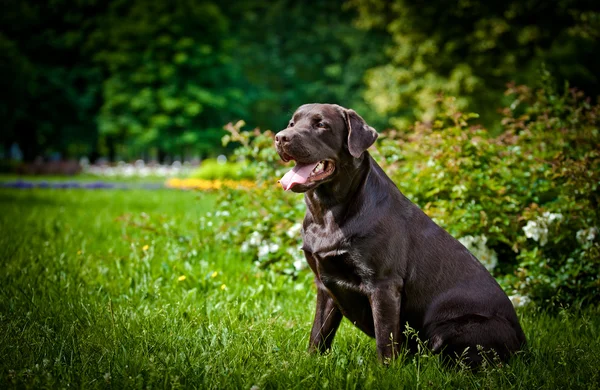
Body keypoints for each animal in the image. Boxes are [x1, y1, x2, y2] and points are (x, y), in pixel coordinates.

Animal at [274, 103, 528, 366]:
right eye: (292, 123)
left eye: (321, 124)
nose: (280, 137)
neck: (327, 214)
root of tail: (524, 348)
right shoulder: (325, 283)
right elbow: (319, 334)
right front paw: (309, 363)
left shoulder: (384, 285)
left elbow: (385, 340)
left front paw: (386, 371)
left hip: (451, 328)